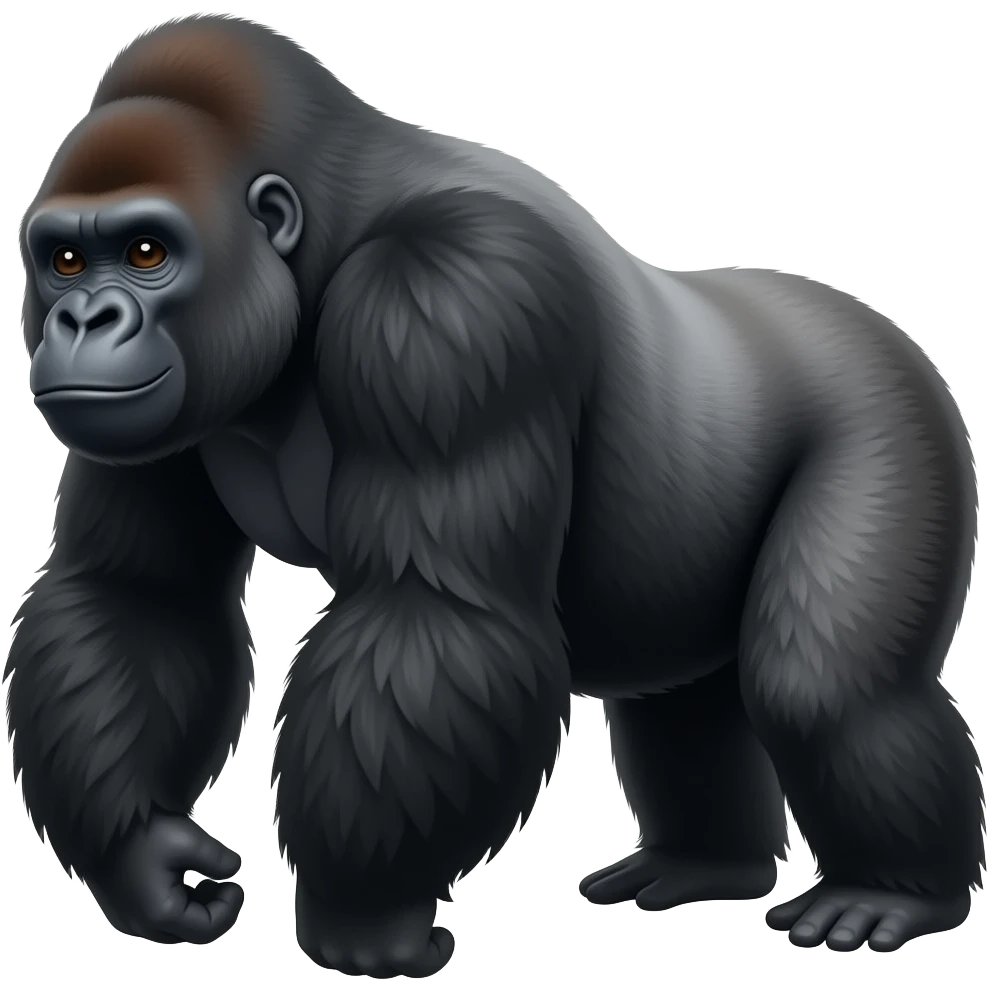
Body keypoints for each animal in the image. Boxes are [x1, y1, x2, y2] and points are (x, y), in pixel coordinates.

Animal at [5, 11, 983, 978]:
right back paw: (707, 863)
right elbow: (137, 595)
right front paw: (138, 856)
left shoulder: (450, 301)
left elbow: (433, 614)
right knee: (688, 698)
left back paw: (895, 891)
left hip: (890, 408)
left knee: (821, 689)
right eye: (63, 260)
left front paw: (363, 915)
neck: (322, 235)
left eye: (146, 251)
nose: (84, 321)